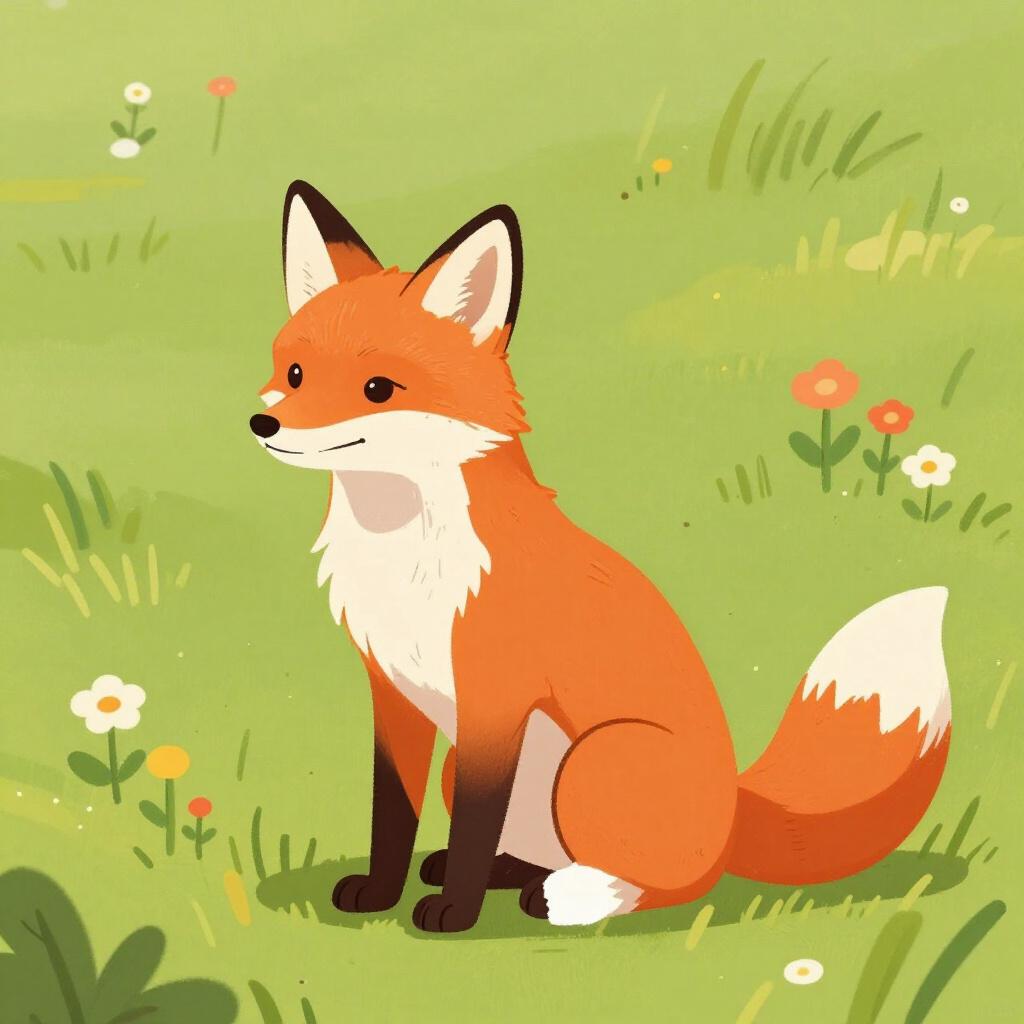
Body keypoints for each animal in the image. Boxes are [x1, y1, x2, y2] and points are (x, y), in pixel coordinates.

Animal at [251, 181, 952, 932]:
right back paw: (518, 875)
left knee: (679, 882)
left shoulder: (494, 702)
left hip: (593, 761)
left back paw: (569, 897)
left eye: (378, 388)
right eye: (295, 372)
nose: (264, 423)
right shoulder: (395, 696)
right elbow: (393, 815)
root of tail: (738, 809)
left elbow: (473, 823)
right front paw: (383, 893)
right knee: (548, 852)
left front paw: (454, 913)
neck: (402, 555)